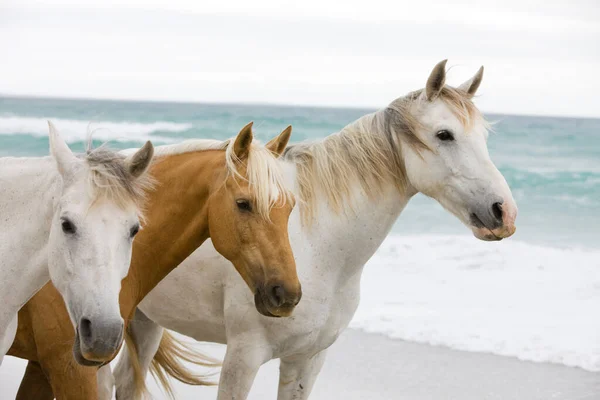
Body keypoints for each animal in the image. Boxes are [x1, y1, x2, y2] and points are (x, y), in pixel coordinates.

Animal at [105, 59, 516, 400]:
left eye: (483, 137)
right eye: (444, 134)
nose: (504, 212)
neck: (322, 247)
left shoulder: (308, 360)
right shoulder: (243, 357)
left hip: (145, 321)